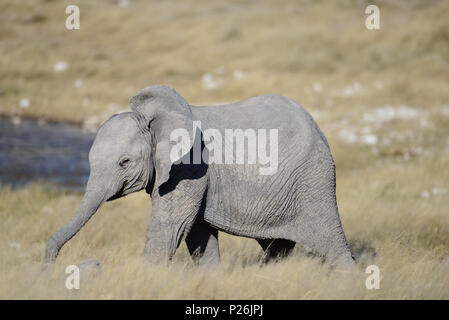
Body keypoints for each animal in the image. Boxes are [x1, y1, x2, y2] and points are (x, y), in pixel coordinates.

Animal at [45, 85, 354, 268]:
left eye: (124, 162)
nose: (50, 263)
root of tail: (317, 126)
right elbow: (196, 231)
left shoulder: (188, 167)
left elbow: (172, 226)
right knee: (277, 246)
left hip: (313, 180)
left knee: (332, 242)